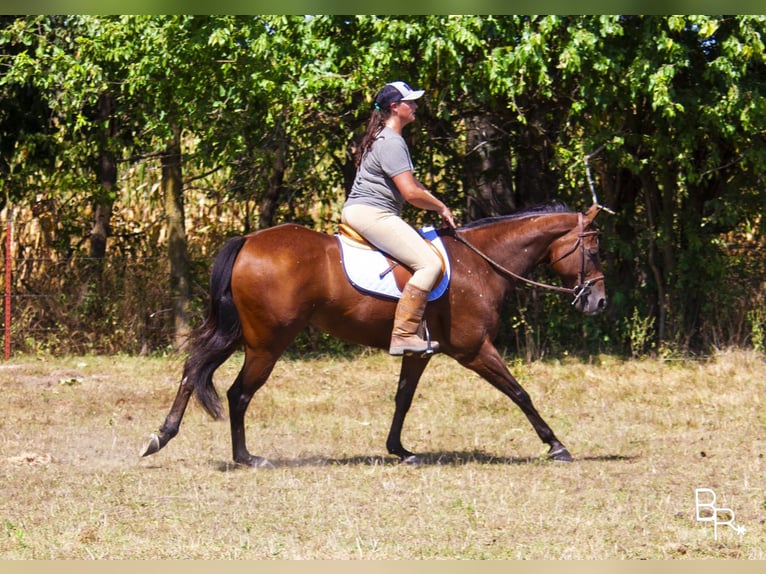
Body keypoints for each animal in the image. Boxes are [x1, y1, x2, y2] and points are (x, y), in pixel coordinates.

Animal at [142, 201, 608, 468]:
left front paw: (399, 450)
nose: (599, 302)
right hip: (267, 343)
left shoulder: (419, 352)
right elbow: (520, 393)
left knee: (193, 369)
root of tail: (249, 240)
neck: (481, 263)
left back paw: (161, 436)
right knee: (238, 393)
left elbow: (402, 399)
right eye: (593, 249)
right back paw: (245, 458)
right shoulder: (475, 350)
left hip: (242, 335)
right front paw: (556, 445)